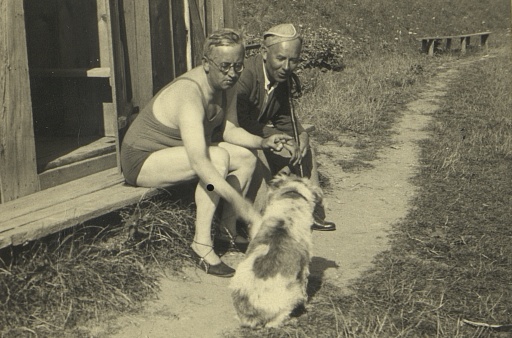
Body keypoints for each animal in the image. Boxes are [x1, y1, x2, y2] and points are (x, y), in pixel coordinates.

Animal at [229, 174, 322, 328]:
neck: (292, 196)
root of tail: (251, 313)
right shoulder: (303, 266)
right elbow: (305, 288)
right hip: (292, 293)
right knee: (274, 323)